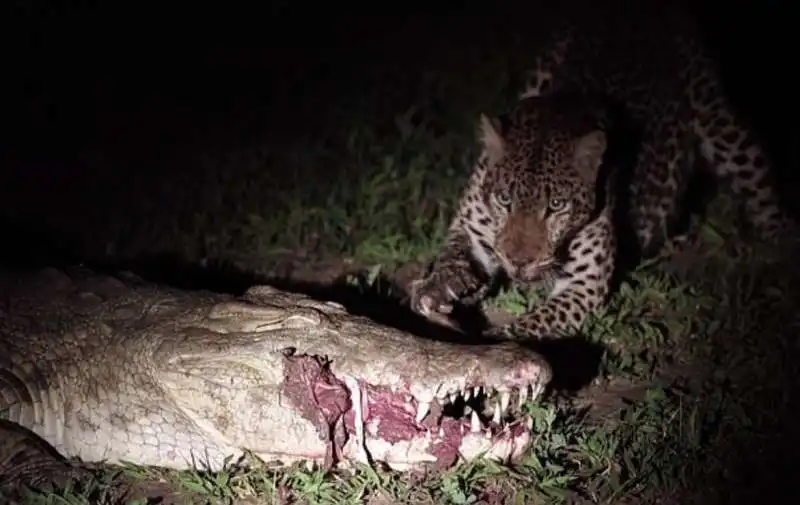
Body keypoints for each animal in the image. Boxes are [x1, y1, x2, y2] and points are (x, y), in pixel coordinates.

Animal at [410, 0, 796, 340]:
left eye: (556, 206)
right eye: (505, 200)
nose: (518, 262)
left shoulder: (584, 286)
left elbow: (532, 325)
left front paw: (498, 343)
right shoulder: (471, 230)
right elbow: (455, 253)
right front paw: (440, 285)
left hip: (719, 118)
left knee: (760, 187)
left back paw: (779, 255)